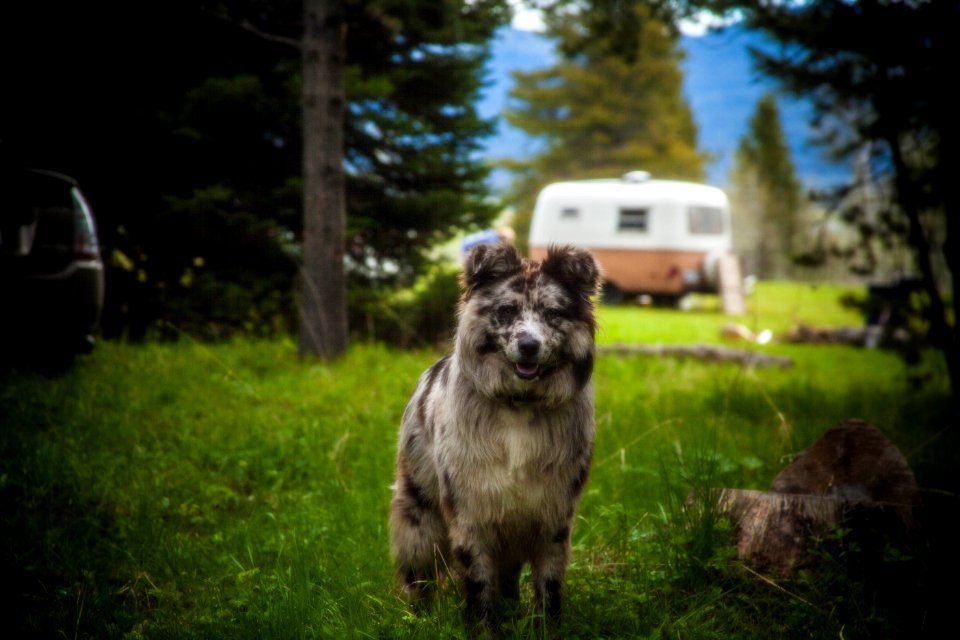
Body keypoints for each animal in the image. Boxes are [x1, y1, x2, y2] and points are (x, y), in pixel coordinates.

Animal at [386, 242, 596, 632]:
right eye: (506, 310)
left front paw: (544, 629)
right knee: (418, 573)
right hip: (419, 513)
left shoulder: (553, 515)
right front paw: (482, 629)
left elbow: (549, 583)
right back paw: (416, 616)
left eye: (552, 313)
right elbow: (478, 583)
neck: (520, 403)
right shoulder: (470, 510)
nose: (528, 345)